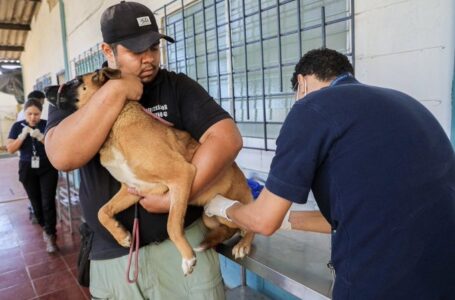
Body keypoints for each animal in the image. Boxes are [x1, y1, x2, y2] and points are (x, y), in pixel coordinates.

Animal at [45, 68, 255, 274]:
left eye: (75, 81)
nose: (45, 89)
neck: (114, 124)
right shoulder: (134, 189)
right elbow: (102, 211)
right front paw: (121, 235)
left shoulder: (181, 173)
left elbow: (172, 225)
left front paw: (187, 257)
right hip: (209, 219)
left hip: (234, 210)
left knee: (251, 225)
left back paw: (243, 244)